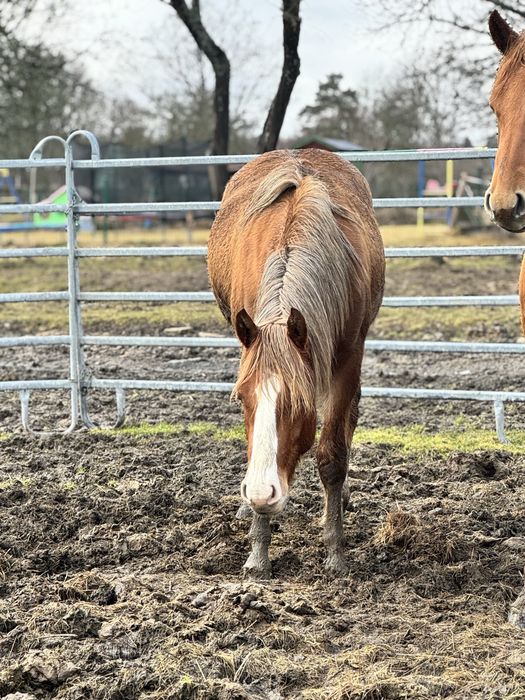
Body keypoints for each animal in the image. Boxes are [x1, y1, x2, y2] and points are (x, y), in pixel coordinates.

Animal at [208, 149, 385, 578]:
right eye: (241, 400)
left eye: (298, 404)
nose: (260, 492)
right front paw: (258, 551)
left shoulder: (347, 360)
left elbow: (333, 454)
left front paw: (336, 551)